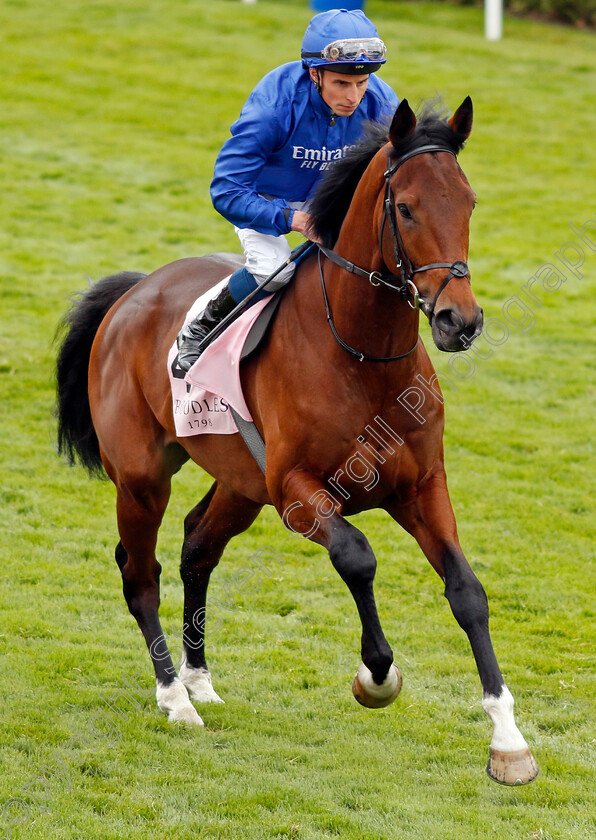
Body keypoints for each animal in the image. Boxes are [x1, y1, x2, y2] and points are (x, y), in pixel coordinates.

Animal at [56, 100, 536, 788]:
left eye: (469, 203)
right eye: (407, 208)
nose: (459, 321)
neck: (364, 357)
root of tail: (134, 290)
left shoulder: (421, 487)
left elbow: (467, 592)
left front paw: (508, 739)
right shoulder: (296, 492)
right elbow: (358, 557)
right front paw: (376, 675)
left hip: (238, 483)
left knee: (197, 547)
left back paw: (199, 680)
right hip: (144, 478)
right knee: (140, 573)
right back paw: (175, 698)